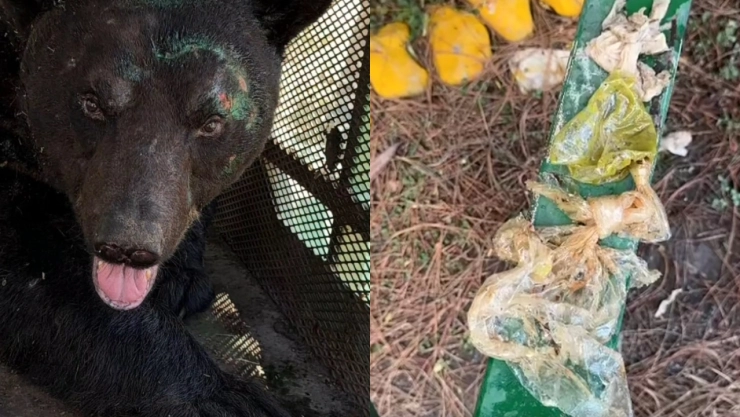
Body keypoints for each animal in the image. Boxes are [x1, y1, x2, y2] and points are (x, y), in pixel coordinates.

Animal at [0, 0, 332, 415]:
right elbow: (39, 269)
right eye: (92, 103)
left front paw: (183, 279)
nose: (127, 248)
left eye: (211, 123)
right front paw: (226, 397)